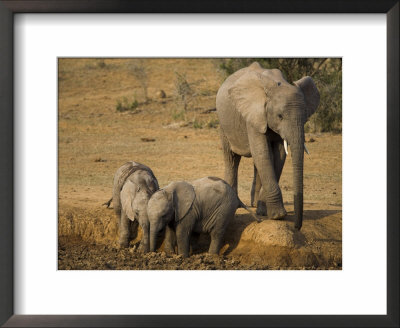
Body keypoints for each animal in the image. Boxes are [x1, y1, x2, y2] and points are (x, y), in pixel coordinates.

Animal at [216, 62, 318, 231]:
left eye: (305, 117)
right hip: (224, 123)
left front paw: (269, 213)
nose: (297, 227)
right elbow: (262, 152)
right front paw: (278, 215)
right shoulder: (253, 115)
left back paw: (258, 208)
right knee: (232, 158)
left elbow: (278, 155)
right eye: (280, 116)